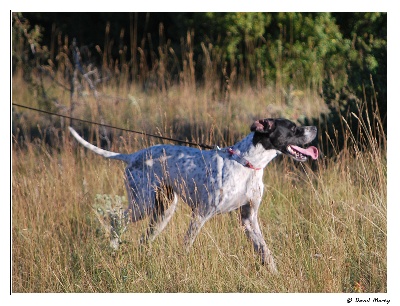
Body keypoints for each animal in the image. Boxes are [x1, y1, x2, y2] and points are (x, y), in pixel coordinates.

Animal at [69, 118, 318, 274]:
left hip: (163, 212)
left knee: (143, 239)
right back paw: (112, 248)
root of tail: (132, 155)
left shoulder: (249, 219)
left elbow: (265, 251)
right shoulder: (201, 214)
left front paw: (275, 274)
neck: (248, 164)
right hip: (142, 204)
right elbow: (186, 245)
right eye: (293, 128)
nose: (314, 128)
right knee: (116, 218)